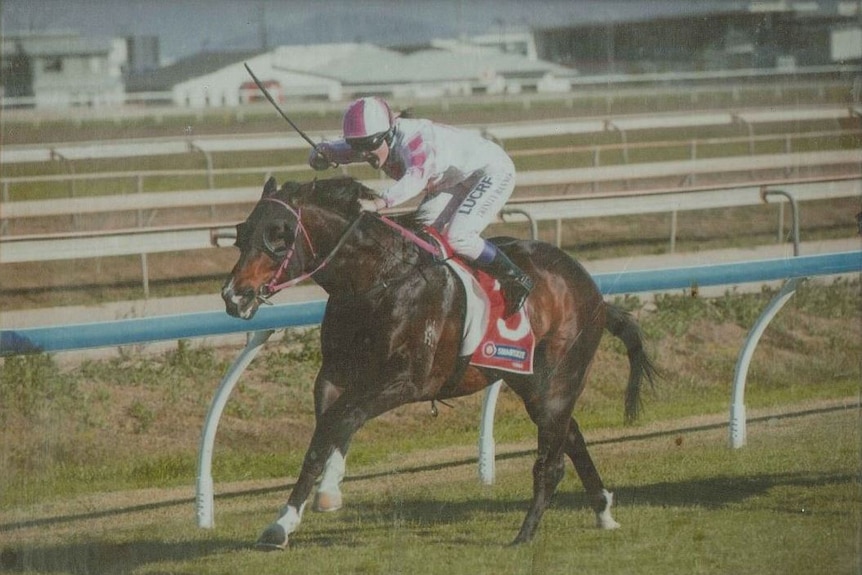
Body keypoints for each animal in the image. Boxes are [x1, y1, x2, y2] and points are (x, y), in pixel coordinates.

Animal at [224, 176, 660, 548]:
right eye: (243, 233)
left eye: (280, 235)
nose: (234, 296)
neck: (376, 280)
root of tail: (593, 291)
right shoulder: (335, 375)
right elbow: (325, 432)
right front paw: (285, 521)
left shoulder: (406, 380)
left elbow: (342, 420)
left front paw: (322, 497)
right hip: (529, 381)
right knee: (571, 435)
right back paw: (603, 509)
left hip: (556, 379)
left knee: (551, 461)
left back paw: (524, 535)